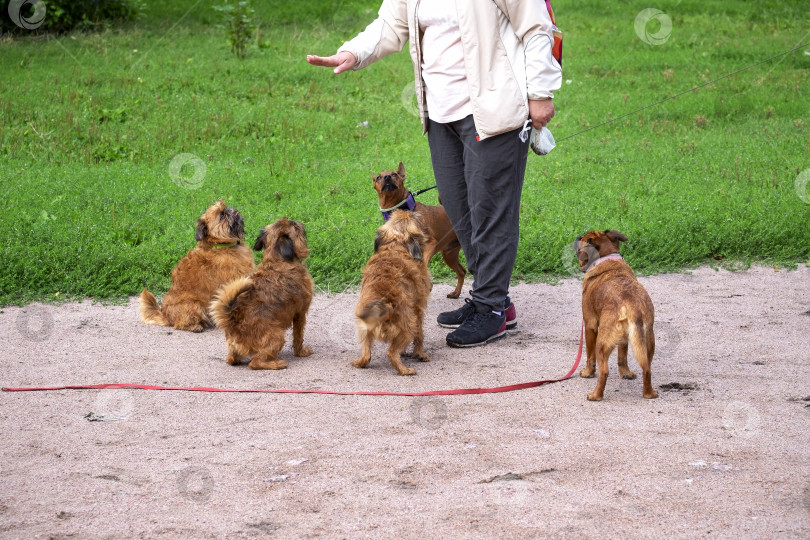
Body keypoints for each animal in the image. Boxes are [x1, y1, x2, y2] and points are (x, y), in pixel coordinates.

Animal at [137, 200, 254, 332]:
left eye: (226, 208)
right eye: (221, 215)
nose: (230, 210)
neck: (221, 246)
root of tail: (166, 316)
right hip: (193, 304)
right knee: (180, 324)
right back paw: (195, 326)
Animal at [208, 217, 312, 370]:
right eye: (295, 227)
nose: (296, 221)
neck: (277, 260)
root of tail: (233, 323)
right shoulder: (300, 314)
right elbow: (298, 337)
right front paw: (301, 352)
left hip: (234, 351)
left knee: (232, 360)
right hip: (277, 336)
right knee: (255, 363)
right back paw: (276, 363)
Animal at [350, 210, 432, 376]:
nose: (408, 209)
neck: (395, 245)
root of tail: (383, 304)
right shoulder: (418, 310)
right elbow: (420, 335)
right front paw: (420, 354)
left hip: (364, 328)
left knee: (367, 354)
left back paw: (359, 363)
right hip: (408, 326)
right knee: (391, 352)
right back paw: (405, 370)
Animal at [372, 162, 468, 302]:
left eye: (394, 174)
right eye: (378, 177)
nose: (387, 177)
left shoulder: (430, 243)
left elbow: (422, 262)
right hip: (449, 253)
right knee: (462, 271)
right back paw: (456, 293)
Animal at [576, 229, 656, 400]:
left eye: (583, 239)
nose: (578, 236)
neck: (607, 258)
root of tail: (634, 308)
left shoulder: (590, 324)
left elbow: (589, 356)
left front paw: (587, 372)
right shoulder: (624, 340)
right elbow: (622, 356)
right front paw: (625, 373)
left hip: (601, 343)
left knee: (604, 371)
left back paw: (595, 395)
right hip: (647, 343)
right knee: (647, 368)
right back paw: (649, 393)